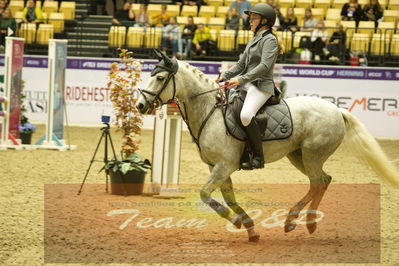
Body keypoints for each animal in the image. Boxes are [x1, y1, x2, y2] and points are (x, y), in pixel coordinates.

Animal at [135, 51, 399, 241]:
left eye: (160, 78)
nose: (139, 105)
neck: (211, 111)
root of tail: (337, 109)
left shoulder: (224, 165)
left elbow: (206, 194)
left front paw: (236, 222)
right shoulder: (219, 167)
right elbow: (229, 198)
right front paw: (250, 228)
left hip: (312, 155)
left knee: (317, 182)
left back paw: (296, 221)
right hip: (298, 156)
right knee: (323, 180)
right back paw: (307, 223)